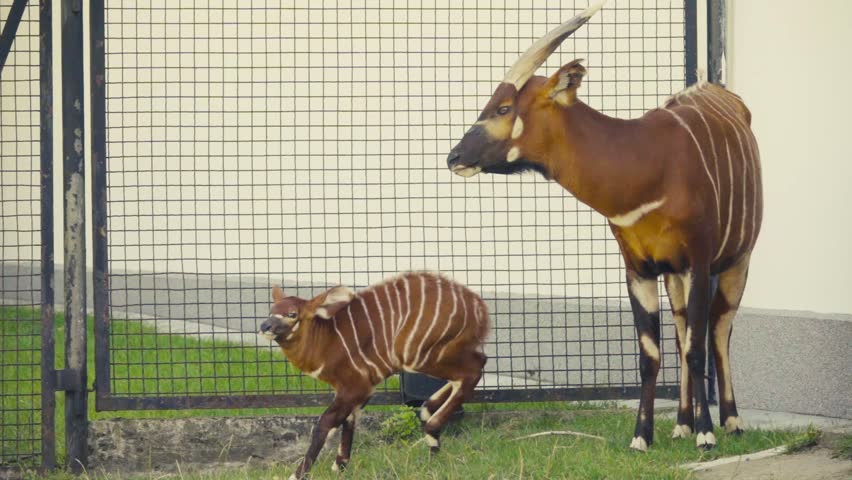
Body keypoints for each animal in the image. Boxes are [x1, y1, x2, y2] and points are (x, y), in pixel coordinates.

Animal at [259, 272, 489, 479]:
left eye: (292, 314)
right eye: (271, 310)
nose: (264, 326)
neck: (327, 341)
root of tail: (479, 309)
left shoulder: (354, 387)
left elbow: (326, 423)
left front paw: (298, 474)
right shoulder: (362, 390)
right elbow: (348, 420)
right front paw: (339, 466)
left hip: (420, 356)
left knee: (473, 370)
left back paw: (432, 434)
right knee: (480, 361)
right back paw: (428, 410)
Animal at [446, 1, 762, 451]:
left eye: (503, 108)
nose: (454, 157)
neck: (646, 162)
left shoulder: (699, 262)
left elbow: (697, 346)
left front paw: (706, 434)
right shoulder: (639, 269)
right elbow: (651, 354)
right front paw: (643, 437)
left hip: (738, 259)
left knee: (718, 329)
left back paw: (730, 421)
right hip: (675, 276)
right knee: (683, 330)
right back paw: (681, 423)